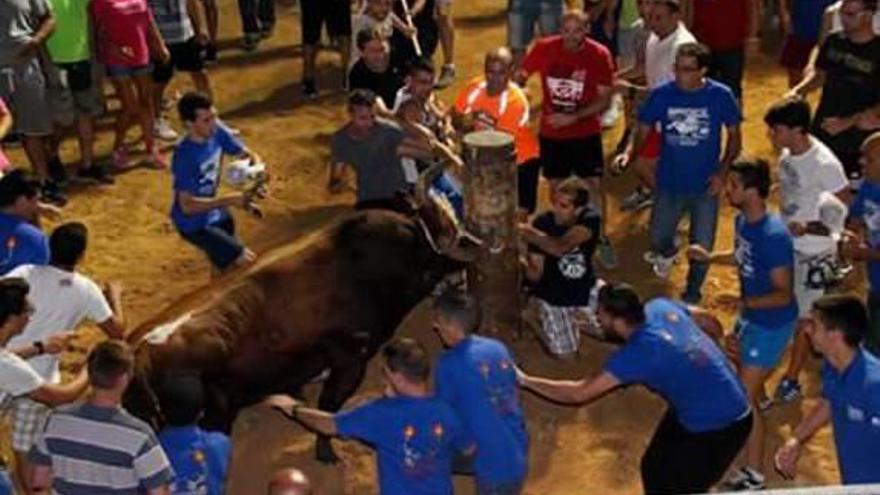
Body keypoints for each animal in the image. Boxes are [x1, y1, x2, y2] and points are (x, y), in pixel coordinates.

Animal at [123, 173, 474, 462]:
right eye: (447, 228)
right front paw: (326, 451)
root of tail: (140, 354)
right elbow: (329, 407)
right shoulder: (351, 357)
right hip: (213, 418)